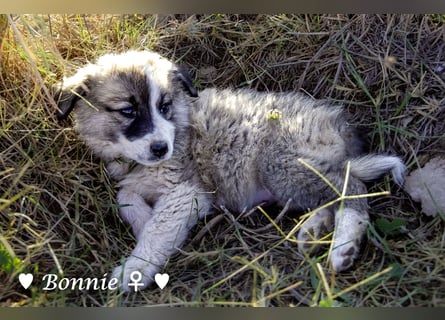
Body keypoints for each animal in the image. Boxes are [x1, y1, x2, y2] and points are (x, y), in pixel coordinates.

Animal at [53, 49, 404, 290]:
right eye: (127, 111)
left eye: (164, 107)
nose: (161, 148)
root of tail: (338, 125)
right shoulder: (137, 180)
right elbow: (126, 198)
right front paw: (143, 222)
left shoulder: (187, 191)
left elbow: (159, 229)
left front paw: (134, 270)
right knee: (332, 193)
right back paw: (314, 230)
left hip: (277, 163)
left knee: (352, 188)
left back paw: (343, 248)